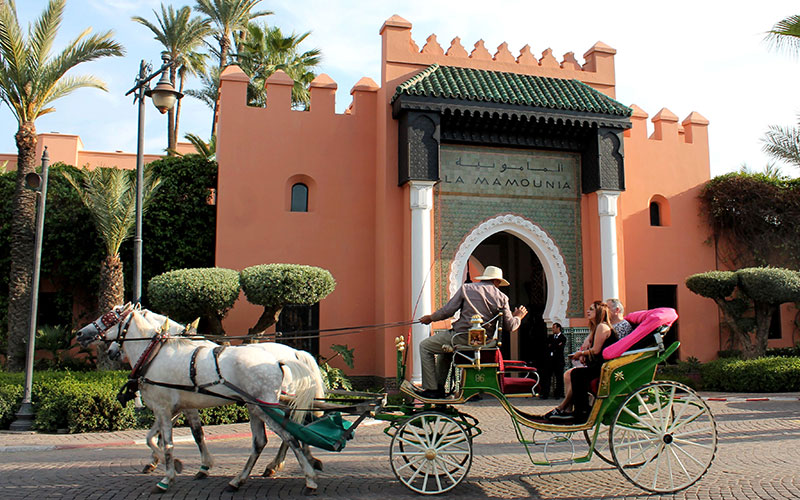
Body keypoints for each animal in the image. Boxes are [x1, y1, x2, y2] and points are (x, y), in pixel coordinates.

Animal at [76, 304, 324, 492]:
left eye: (110, 316)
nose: (80, 334)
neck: (155, 353)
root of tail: (287, 357)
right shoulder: (176, 407)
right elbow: (158, 437)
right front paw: (175, 464)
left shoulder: (166, 407)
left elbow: (173, 440)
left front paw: (170, 474)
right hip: (258, 407)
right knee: (267, 438)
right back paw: (247, 477)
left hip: (266, 406)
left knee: (289, 434)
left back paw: (306, 474)